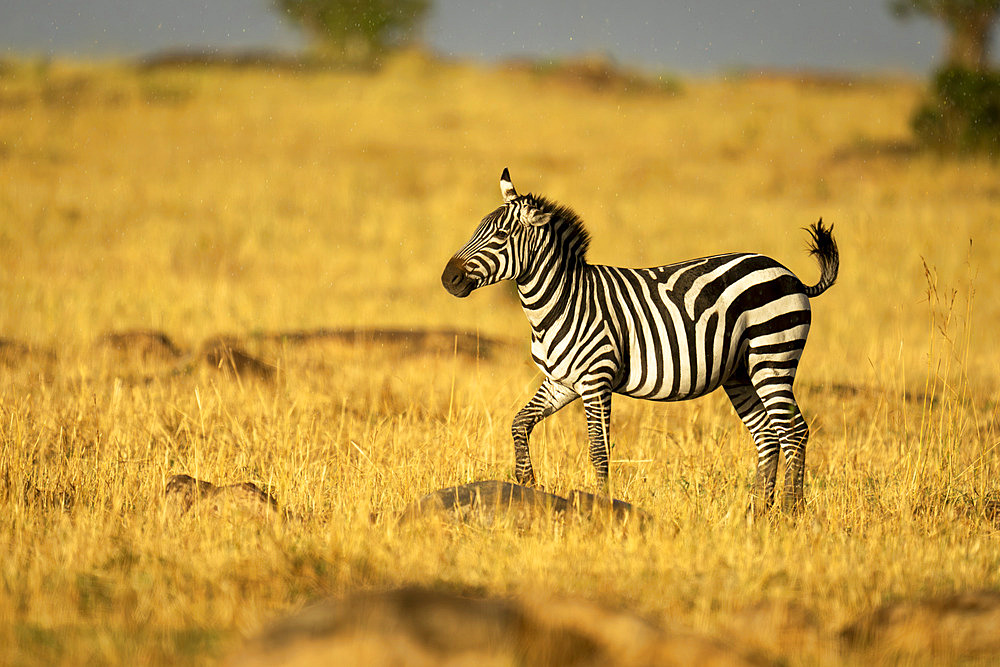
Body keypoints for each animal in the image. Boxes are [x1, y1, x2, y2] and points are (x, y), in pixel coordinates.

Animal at [442, 168, 840, 512]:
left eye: (500, 236)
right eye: (478, 229)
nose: (448, 279)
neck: (564, 299)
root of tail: (789, 274)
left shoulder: (596, 380)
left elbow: (599, 450)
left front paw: (601, 504)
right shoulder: (561, 382)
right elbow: (519, 422)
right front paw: (527, 481)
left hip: (773, 355)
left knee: (794, 431)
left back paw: (791, 511)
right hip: (740, 373)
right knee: (768, 435)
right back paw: (757, 511)